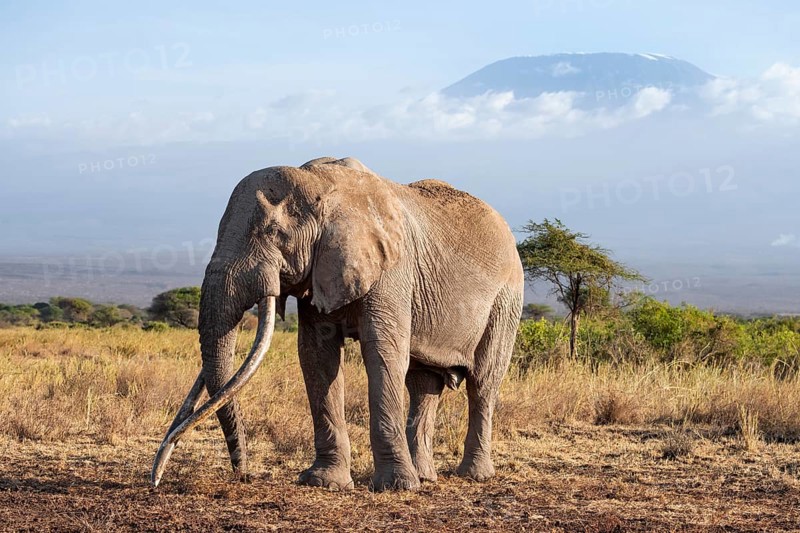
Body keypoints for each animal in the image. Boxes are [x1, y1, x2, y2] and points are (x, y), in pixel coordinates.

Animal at [151, 156, 524, 491]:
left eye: (274, 232)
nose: (243, 473)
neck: (321, 184)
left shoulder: (392, 270)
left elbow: (383, 354)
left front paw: (397, 487)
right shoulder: (321, 268)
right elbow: (317, 355)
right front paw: (324, 482)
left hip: (507, 299)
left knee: (483, 381)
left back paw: (472, 476)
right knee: (423, 384)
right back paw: (426, 477)